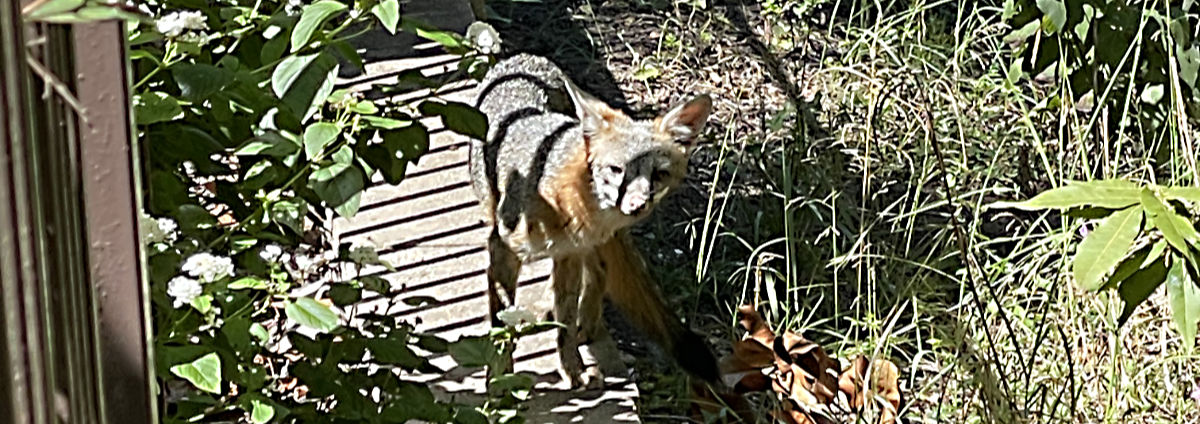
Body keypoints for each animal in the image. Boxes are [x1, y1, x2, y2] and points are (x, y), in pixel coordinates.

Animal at [463, 53, 715, 386]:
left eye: (658, 175)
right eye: (617, 170)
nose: (637, 204)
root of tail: (527, 56)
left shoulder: (569, 253)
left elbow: (566, 325)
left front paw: (571, 368)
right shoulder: (504, 249)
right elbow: (502, 322)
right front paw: (500, 379)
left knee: (598, 271)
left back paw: (584, 322)